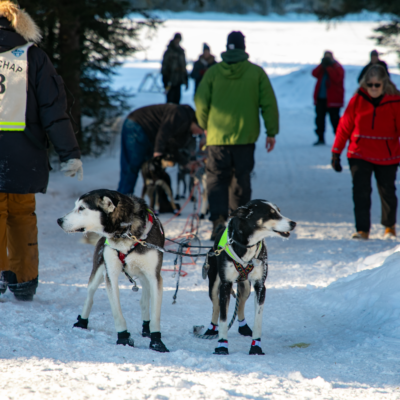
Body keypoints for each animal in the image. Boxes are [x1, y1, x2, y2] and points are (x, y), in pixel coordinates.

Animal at [57, 189, 169, 352]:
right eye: (75, 206)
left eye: (82, 208)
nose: (59, 220)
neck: (125, 232)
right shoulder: (110, 275)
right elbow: (117, 313)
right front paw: (123, 338)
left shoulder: (155, 277)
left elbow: (155, 314)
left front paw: (156, 341)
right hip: (98, 271)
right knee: (89, 297)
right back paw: (82, 322)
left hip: (146, 277)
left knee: (144, 300)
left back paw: (146, 328)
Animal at [205, 202, 296, 354]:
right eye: (270, 214)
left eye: (279, 211)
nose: (293, 223)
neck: (247, 246)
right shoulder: (225, 285)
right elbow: (223, 319)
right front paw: (222, 345)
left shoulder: (260, 286)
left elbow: (258, 320)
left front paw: (256, 346)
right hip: (214, 284)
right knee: (216, 306)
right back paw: (211, 329)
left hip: (246, 287)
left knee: (240, 303)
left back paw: (243, 327)